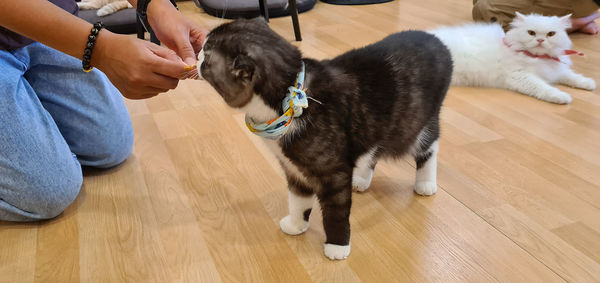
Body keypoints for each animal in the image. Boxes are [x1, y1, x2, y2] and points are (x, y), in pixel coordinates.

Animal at [196, 18, 450, 262]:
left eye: (207, 55)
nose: (197, 52)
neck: (291, 97)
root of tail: (438, 41)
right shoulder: (293, 168)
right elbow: (298, 200)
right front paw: (296, 224)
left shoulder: (333, 173)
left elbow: (335, 212)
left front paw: (337, 245)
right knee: (374, 148)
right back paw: (361, 179)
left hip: (413, 123)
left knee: (429, 147)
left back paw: (425, 183)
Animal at [432, 12, 596, 104]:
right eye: (531, 33)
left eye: (551, 34)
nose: (540, 40)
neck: (539, 58)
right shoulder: (520, 76)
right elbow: (543, 88)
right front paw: (561, 96)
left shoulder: (556, 70)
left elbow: (572, 77)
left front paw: (588, 84)